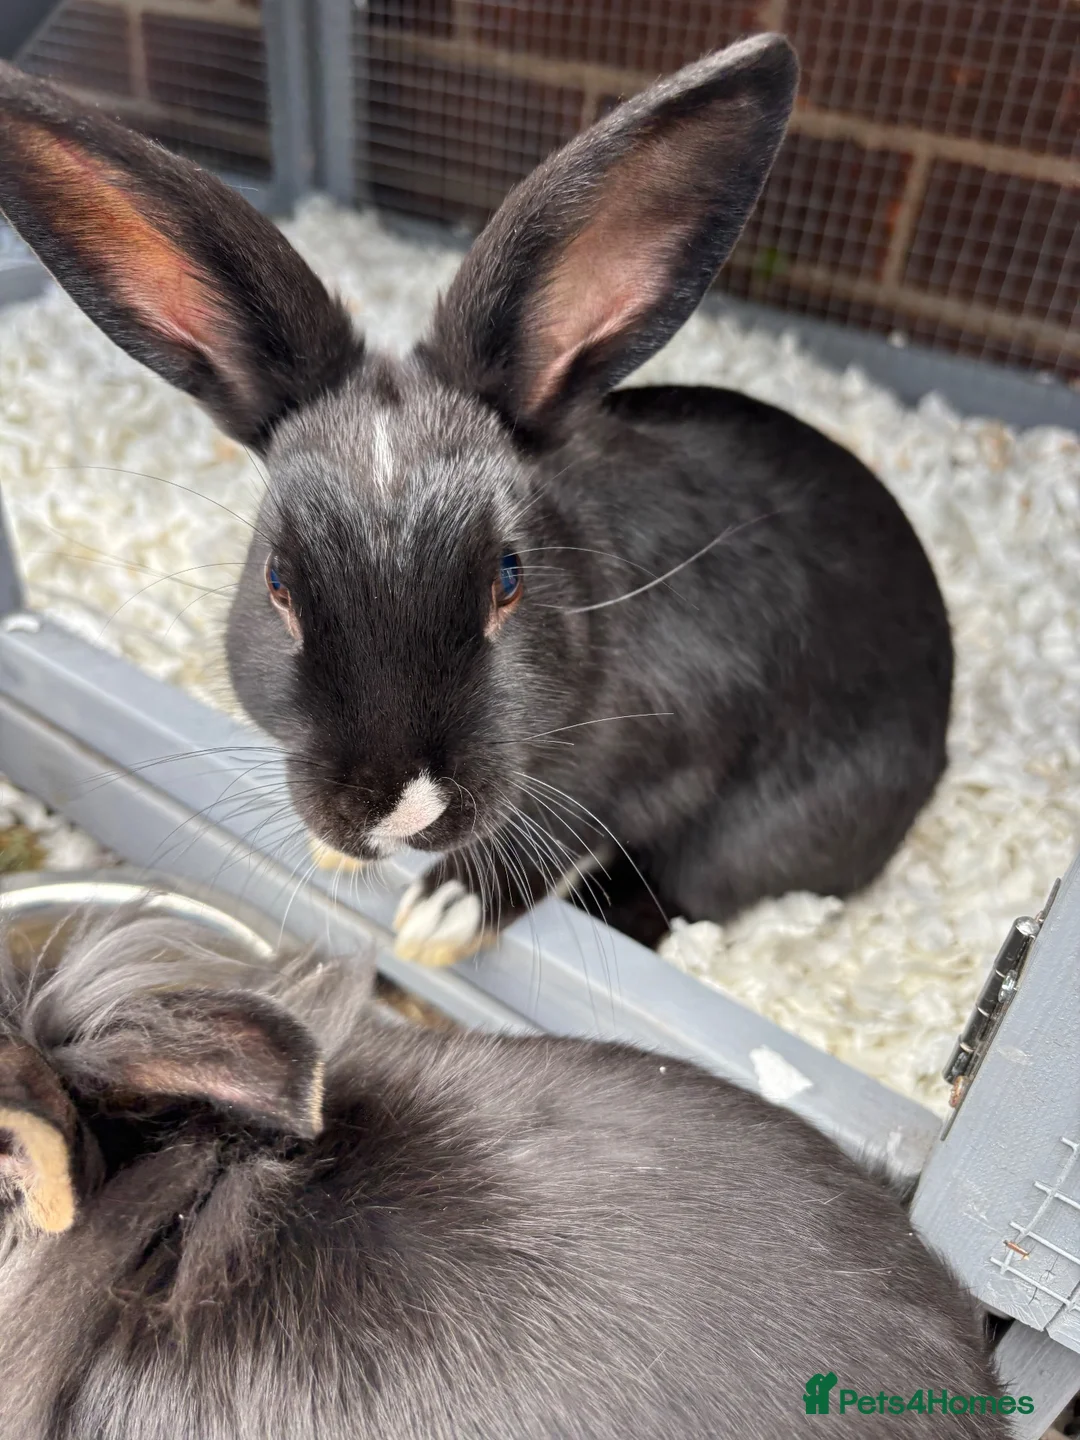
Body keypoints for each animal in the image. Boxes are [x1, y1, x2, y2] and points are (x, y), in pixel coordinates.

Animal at [0, 34, 953, 965]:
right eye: (276, 583)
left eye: (508, 578)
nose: (401, 809)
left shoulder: (660, 753)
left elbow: (564, 826)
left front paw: (442, 915)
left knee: (684, 895)